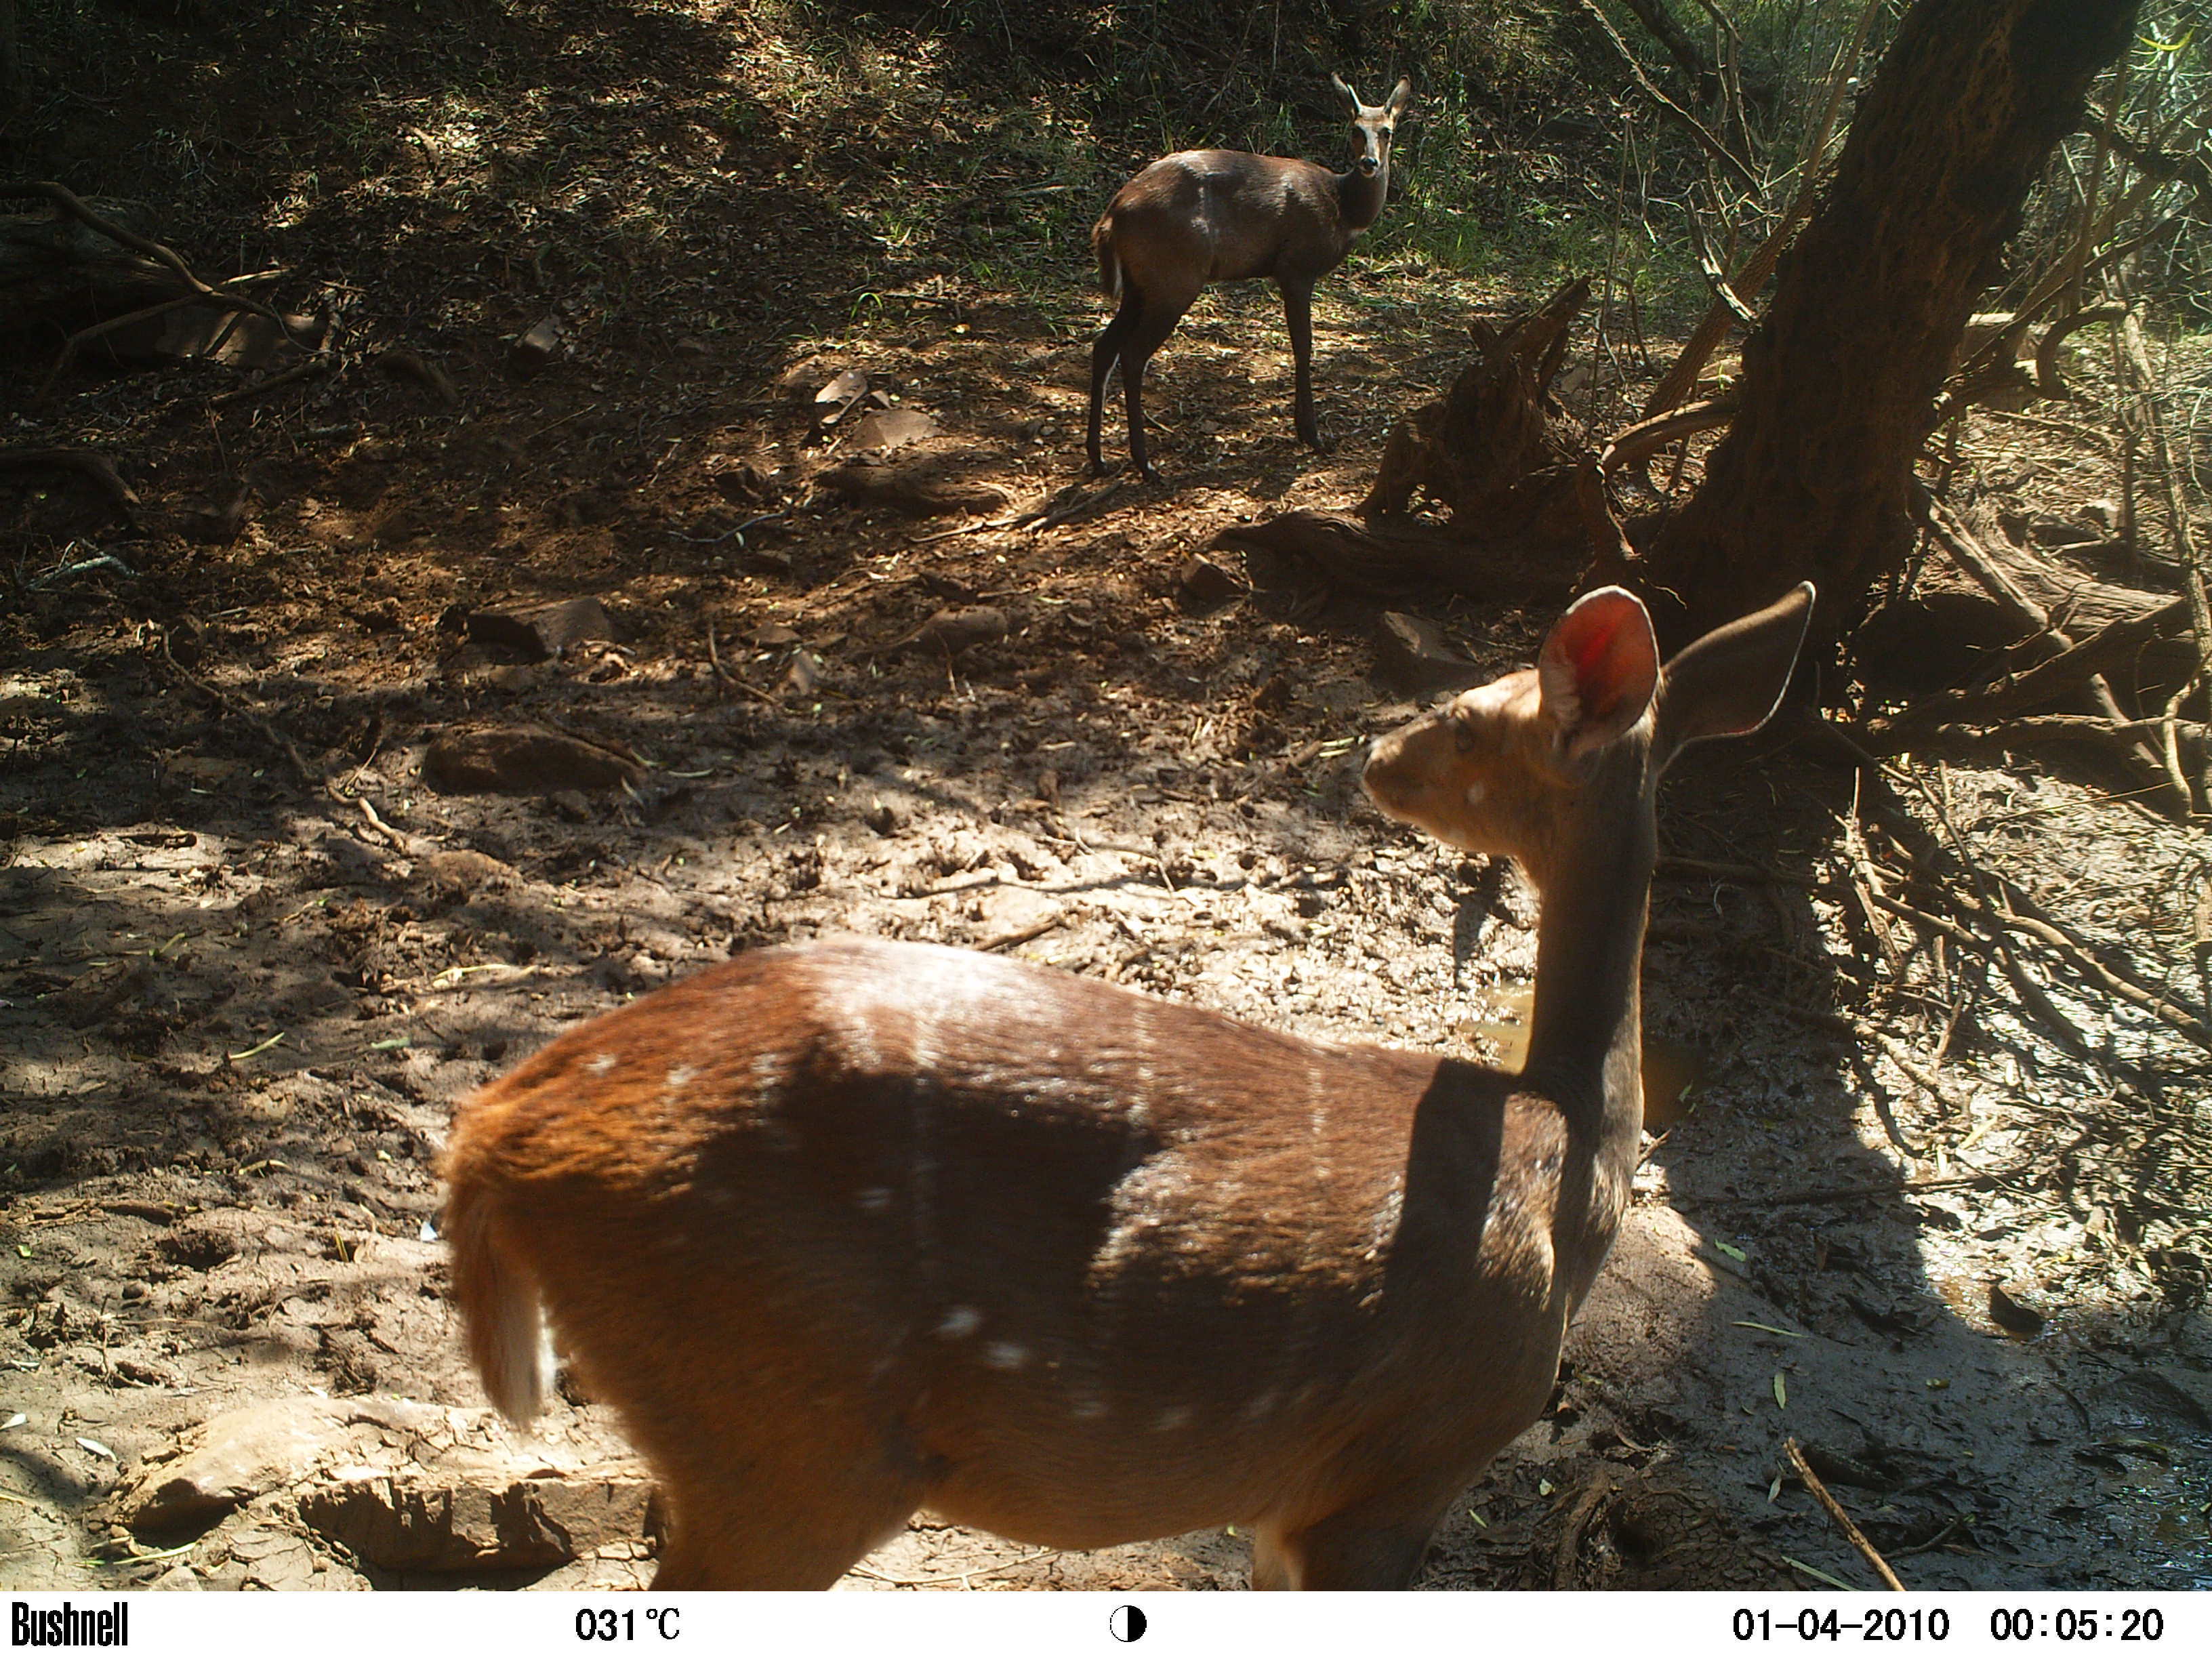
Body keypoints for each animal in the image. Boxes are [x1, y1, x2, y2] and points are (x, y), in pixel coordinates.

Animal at [436, 579, 1814, 1584]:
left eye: (1471, 718)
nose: (1373, 754)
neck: (1563, 1159)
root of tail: (490, 1134)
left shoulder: (1310, 1496)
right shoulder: (1405, 1461)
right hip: (788, 1431)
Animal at [1088, 78, 1415, 480]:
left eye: (1387, 131)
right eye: (1355, 129)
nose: (1369, 163)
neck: (1342, 208)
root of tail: (1111, 218)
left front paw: (1304, 430)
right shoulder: (1296, 267)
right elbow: (1304, 346)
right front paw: (1312, 434)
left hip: (1140, 285)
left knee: (1105, 347)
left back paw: (1099, 459)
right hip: (1174, 279)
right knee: (1133, 354)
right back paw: (1146, 464)